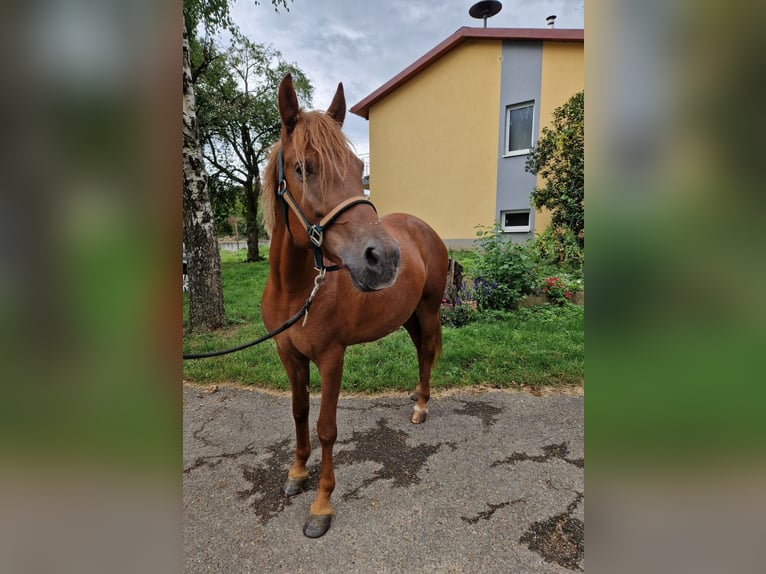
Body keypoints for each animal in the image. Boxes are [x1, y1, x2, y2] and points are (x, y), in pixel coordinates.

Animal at [260, 74, 448, 538]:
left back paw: (422, 406)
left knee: (427, 352)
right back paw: (416, 396)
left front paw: (321, 505)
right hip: (408, 316)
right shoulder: (288, 355)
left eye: (356, 169)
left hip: (428, 309)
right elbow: (298, 413)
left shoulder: (331, 357)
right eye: (303, 168)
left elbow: (326, 428)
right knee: (420, 350)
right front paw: (296, 473)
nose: (384, 258)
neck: (297, 291)